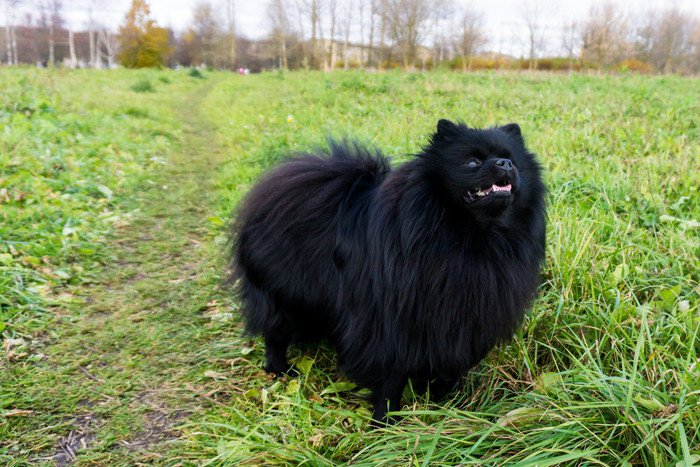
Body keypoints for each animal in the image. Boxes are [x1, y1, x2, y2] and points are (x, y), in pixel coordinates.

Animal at [230, 119, 548, 422]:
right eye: (471, 162)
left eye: (512, 160)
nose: (504, 164)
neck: (471, 237)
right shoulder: (389, 325)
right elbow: (390, 378)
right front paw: (386, 420)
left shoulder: (459, 321)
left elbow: (449, 366)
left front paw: (442, 402)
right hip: (283, 296)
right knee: (274, 333)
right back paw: (279, 369)